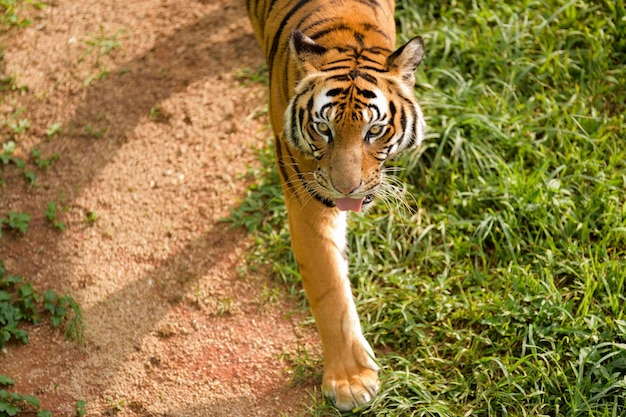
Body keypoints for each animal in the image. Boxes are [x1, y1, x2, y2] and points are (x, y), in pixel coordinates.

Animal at [244, 0, 424, 410]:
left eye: (375, 130)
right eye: (323, 128)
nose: (346, 189)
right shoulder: (308, 198)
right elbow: (329, 288)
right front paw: (350, 381)